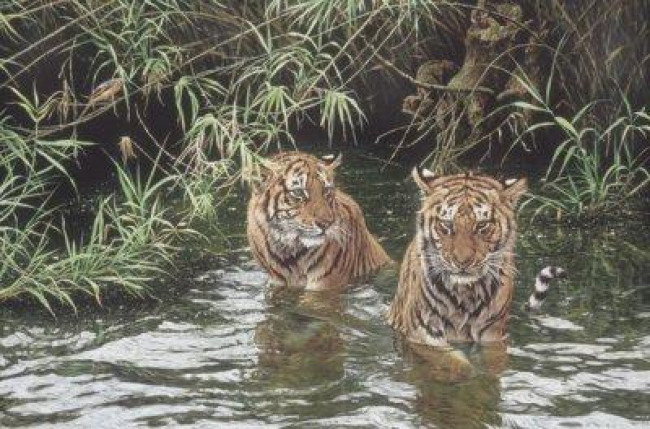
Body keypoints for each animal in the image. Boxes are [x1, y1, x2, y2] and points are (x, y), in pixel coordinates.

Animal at [388, 168, 563, 347]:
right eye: (447, 224)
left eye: (482, 225)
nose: (462, 262)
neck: (465, 295)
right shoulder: (424, 333)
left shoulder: (493, 335)